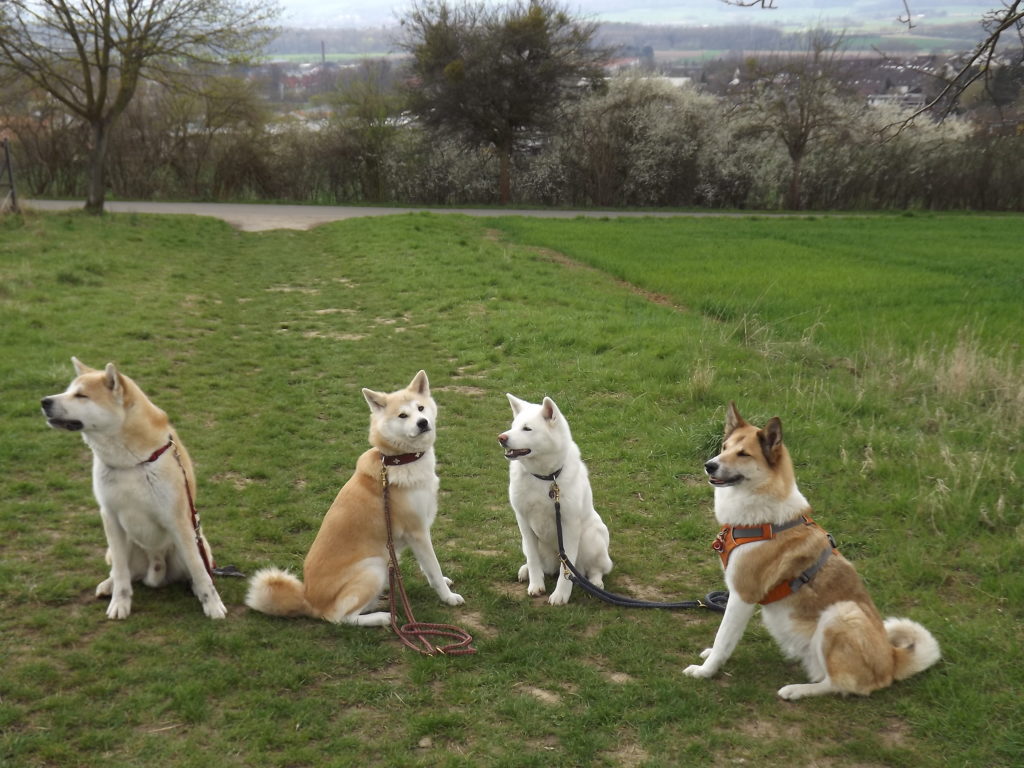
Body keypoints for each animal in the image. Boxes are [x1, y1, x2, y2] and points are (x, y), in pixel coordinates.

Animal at [42, 360, 226, 618]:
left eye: (81, 395)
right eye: (67, 391)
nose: (44, 401)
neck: (130, 463)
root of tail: (156, 564)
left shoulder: (178, 522)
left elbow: (199, 571)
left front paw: (212, 604)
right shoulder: (110, 518)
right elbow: (121, 574)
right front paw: (120, 603)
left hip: (196, 544)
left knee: (196, 569)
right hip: (119, 548)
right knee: (125, 573)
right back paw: (108, 585)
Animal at [245, 374, 462, 630]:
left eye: (420, 408)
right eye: (402, 415)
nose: (423, 422)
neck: (400, 460)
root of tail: (309, 599)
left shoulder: (420, 531)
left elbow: (428, 567)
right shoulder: (417, 532)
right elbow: (434, 567)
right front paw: (448, 597)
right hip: (373, 567)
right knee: (339, 617)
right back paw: (383, 616)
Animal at [497, 397, 610, 606]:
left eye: (527, 429)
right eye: (513, 426)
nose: (501, 438)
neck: (545, 477)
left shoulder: (569, 525)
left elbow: (566, 570)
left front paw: (560, 595)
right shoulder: (523, 522)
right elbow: (533, 559)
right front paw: (535, 585)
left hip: (591, 537)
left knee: (597, 569)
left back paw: (596, 582)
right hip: (527, 542)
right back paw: (526, 570)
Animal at [684, 405, 937, 700]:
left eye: (744, 454)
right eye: (724, 447)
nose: (709, 465)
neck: (762, 520)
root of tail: (892, 659)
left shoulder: (742, 596)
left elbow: (723, 637)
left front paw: (705, 671)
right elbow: (724, 639)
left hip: (840, 614)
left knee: (840, 684)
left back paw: (796, 690)